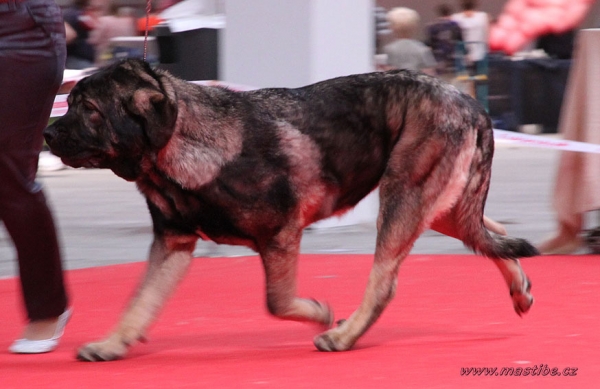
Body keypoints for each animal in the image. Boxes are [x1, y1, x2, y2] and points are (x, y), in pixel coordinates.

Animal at [44, 58, 536, 360]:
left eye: (88, 109)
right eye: (71, 102)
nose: (47, 133)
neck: (178, 138)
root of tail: (471, 102)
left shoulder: (281, 234)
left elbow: (277, 301)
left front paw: (318, 312)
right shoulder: (173, 242)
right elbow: (139, 301)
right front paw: (113, 344)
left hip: (404, 200)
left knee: (386, 281)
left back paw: (343, 334)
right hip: (439, 207)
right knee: (489, 234)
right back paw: (519, 287)